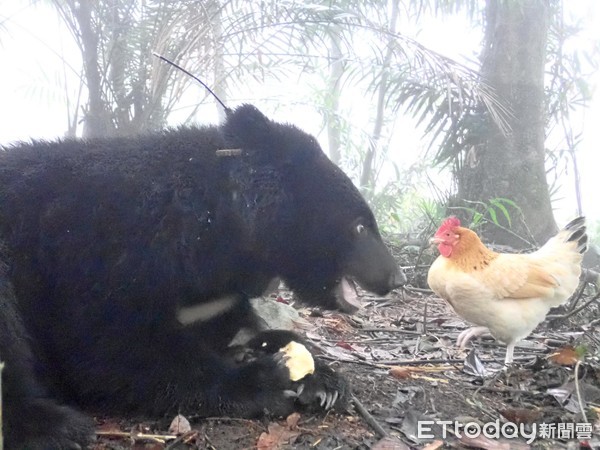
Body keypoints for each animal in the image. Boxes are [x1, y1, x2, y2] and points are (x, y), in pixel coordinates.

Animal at [1, 104, 404, 446]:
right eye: (360, 227)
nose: (396, 279)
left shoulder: (211, 296)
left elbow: (232, 330)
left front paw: (322, 378)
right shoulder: (101, 255)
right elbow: (114, 346)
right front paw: (265, 381)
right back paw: (56, 427)